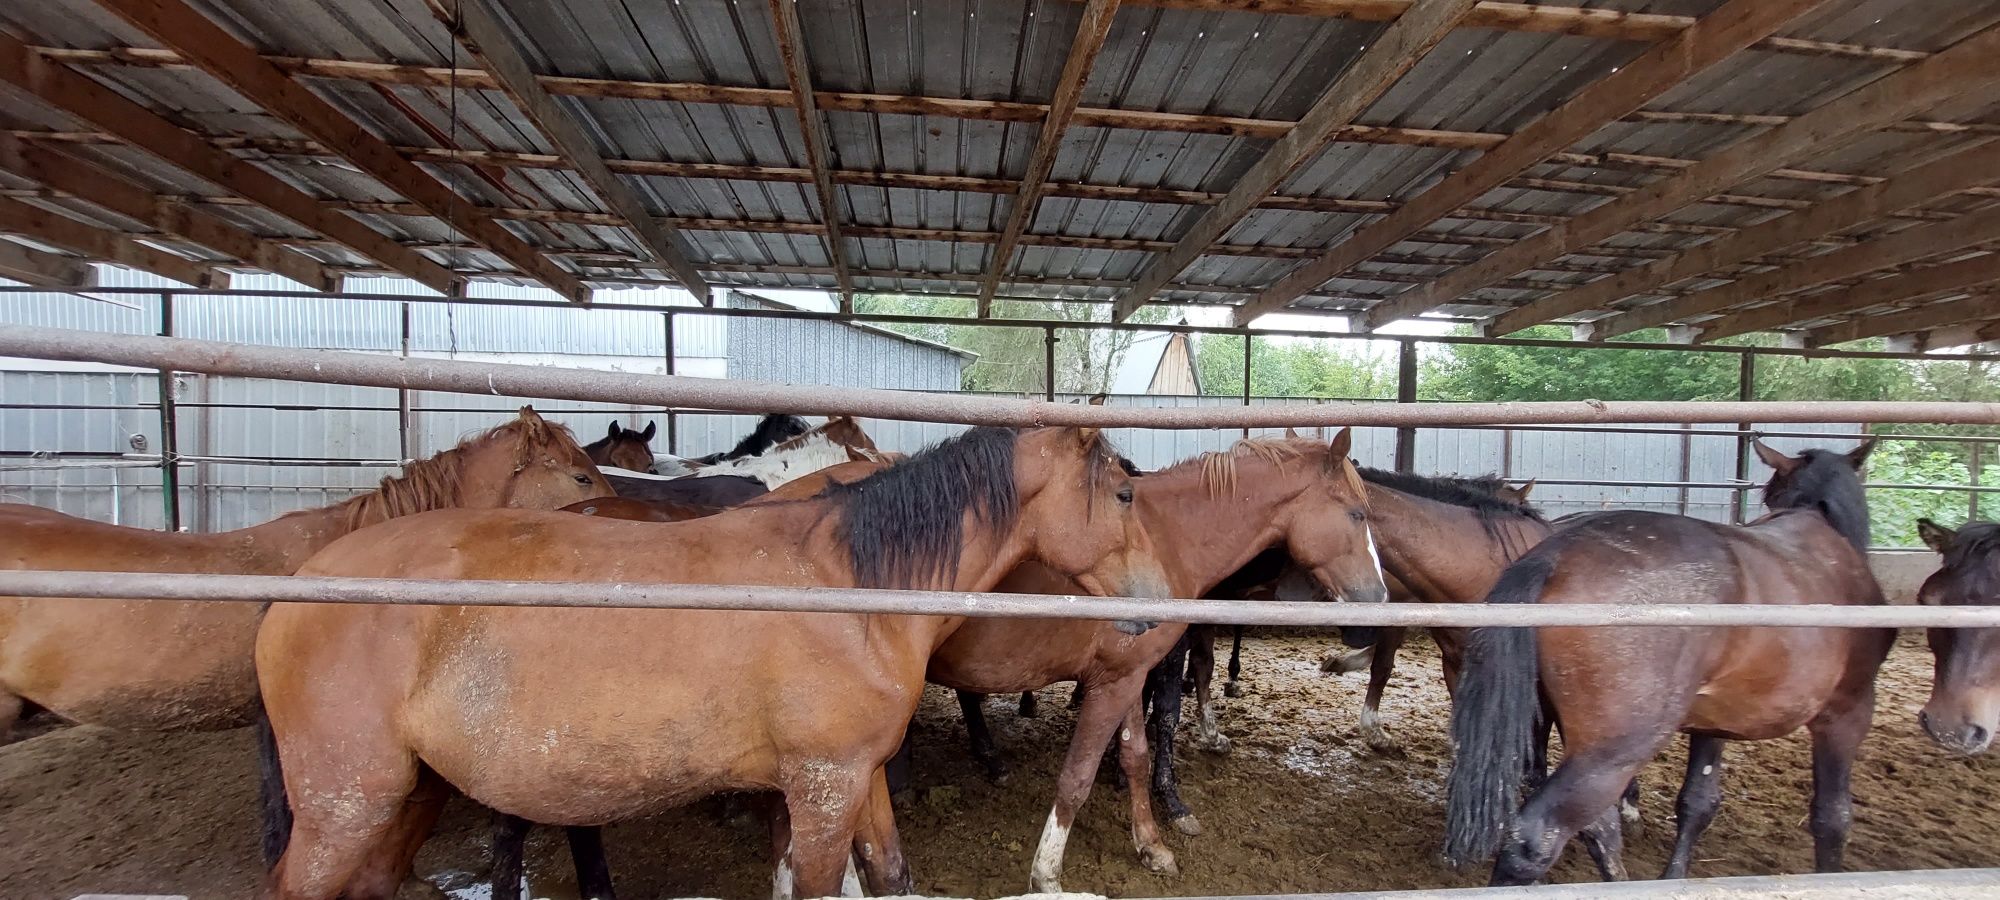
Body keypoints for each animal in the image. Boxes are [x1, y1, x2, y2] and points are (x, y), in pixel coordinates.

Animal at [256, 424, 1168, 900]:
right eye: (1125, 493)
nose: (1162, 605)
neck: (848, 585)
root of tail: (293, 587)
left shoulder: (860, 775)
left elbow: (891, 873)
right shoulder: (823, 786)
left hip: (404, 799)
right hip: (346, 808)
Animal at [936, 430, 1392, 892]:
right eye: (1357, 514)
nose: (1380, 596)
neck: (1164, 538)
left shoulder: (1129, 675)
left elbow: (1136, 755)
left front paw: (1151, 846)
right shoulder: (1113, 683)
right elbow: (1078, 776)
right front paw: (1046, 874)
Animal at [1440, 440, 1888, 884]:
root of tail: (1553, 558)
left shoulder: (1714, 723)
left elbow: (1698, 801)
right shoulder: (1846, 713)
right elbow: (1832, 817)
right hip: (1613, 752)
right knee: (1536, 839)